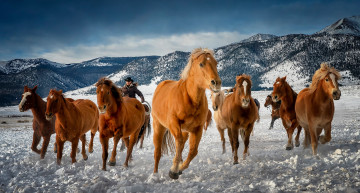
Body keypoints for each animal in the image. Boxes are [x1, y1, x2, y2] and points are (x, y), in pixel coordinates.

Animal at [151, 47, 221, 179]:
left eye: (216, 63)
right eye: (201, 64)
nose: (216, 83)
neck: (190, 98)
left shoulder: (197, 128)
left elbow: (193, 151)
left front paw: (178, 169)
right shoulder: (174, 123)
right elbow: (178, 143)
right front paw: (173, 170)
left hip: (185, 131)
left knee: (182, 145)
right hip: (159, 126)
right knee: (158, 152)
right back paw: (155, 174)